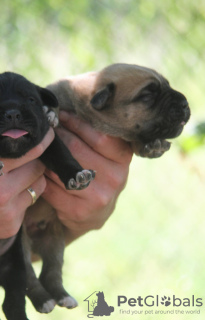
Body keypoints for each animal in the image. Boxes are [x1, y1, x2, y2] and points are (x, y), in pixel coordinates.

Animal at [0, 72, 94, 320]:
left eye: (31, 100)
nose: (12, 113)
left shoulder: (48, 143)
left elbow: (63, 157)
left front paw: (77, 175)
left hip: (16, 262)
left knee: (14, 299)